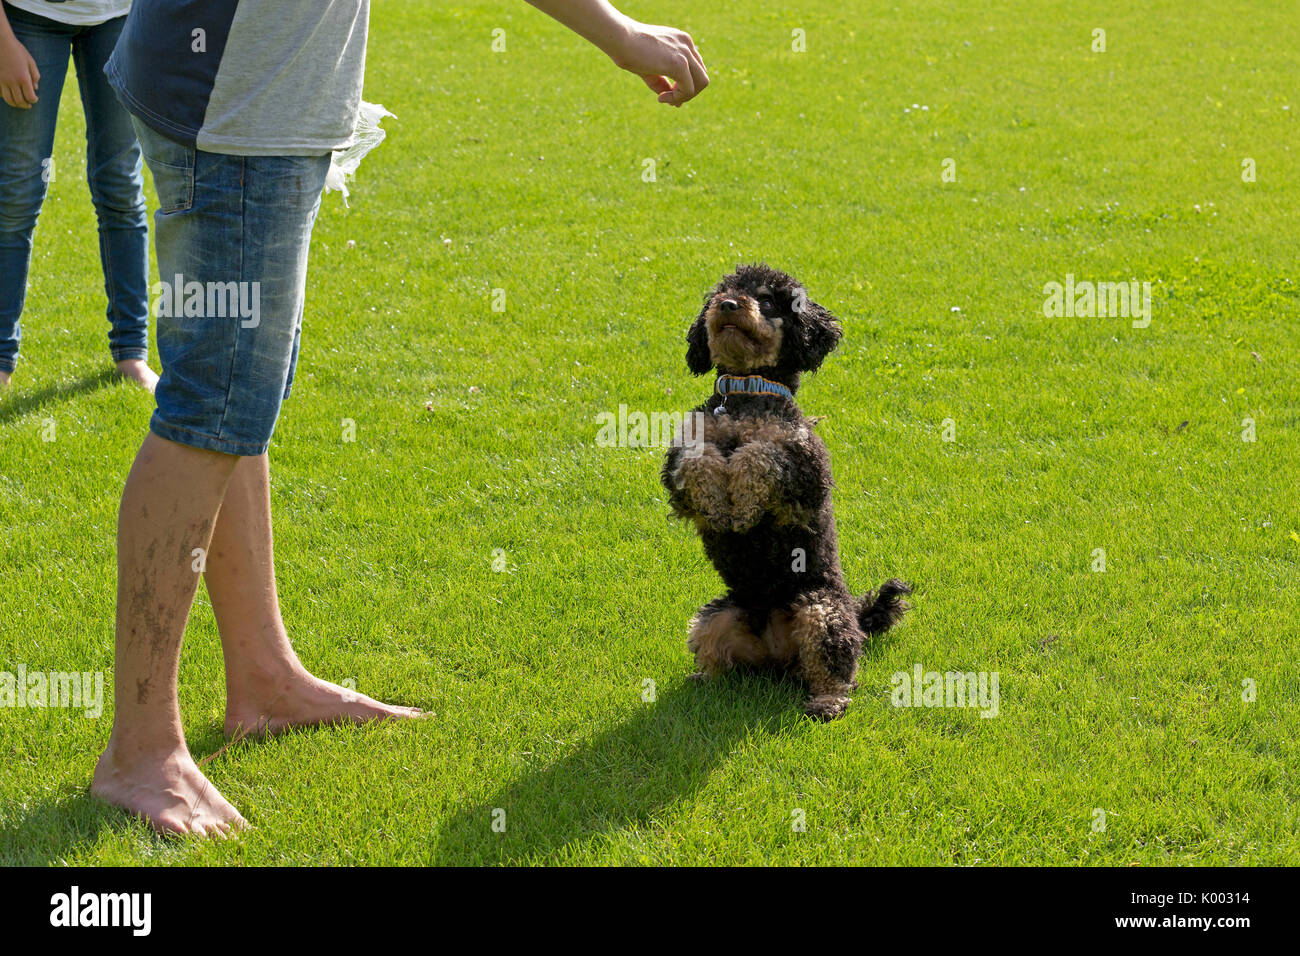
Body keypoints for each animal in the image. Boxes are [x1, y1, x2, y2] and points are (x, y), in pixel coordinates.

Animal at [665, 261, 909, 717]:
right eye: (721, 293)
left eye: (766, 301)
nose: (727, 304)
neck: (746, 394)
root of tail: (776, 653)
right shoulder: (678, 461)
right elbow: (699, 458)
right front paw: (719, 504)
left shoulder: (808, 470)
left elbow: (761, 454)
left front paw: (742, 504)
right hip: (716, 615)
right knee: (718, 654)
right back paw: (703, 681)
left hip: (821, 609)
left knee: (837, 666)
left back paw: (827, 702)